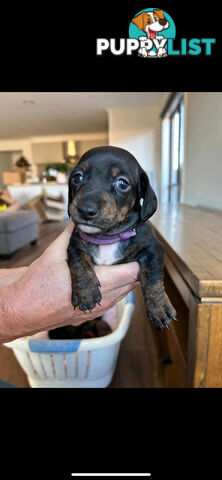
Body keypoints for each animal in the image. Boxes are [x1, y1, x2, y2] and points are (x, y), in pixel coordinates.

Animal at [49, 144, 177, 340]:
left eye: (122, 183)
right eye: (77, 177)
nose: (85, 210)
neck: (107, 237)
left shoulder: (154, 249)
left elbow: (153, 277)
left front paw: (159, 307)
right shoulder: (75, 245)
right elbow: (79, 262)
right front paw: (86, 291)